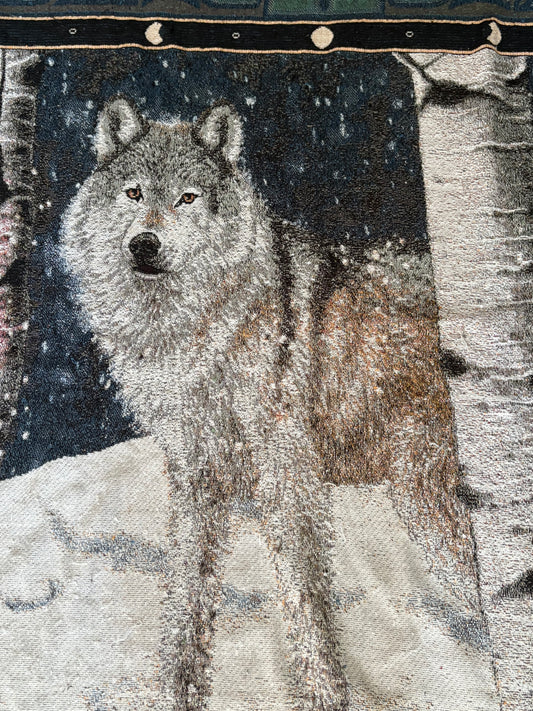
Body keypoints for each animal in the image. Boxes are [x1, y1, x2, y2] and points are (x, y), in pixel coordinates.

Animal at [61, 97, 477, 711]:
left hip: (425, 504)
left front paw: (325, 693)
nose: (144, 244)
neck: (192, 332)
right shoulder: (197, 476)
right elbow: (185, 598)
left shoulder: (287, 476)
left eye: (187, 198)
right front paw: (179, 691)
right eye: (134, 193)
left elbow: (305, 598)